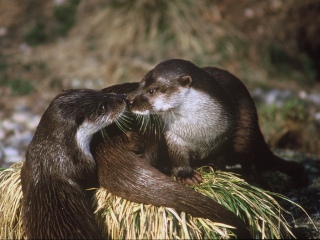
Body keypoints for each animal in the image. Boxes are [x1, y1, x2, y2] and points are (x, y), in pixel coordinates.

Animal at [128, 58, 304, 186]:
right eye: (140, 85)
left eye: (151, 90)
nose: (129, 101)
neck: (198, 132)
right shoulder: (174, 137)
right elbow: (178, 157)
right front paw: (186, 174)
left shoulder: (224, 136)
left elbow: (220, 157)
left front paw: (212, 168)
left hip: (246, 128)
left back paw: (251, 175)